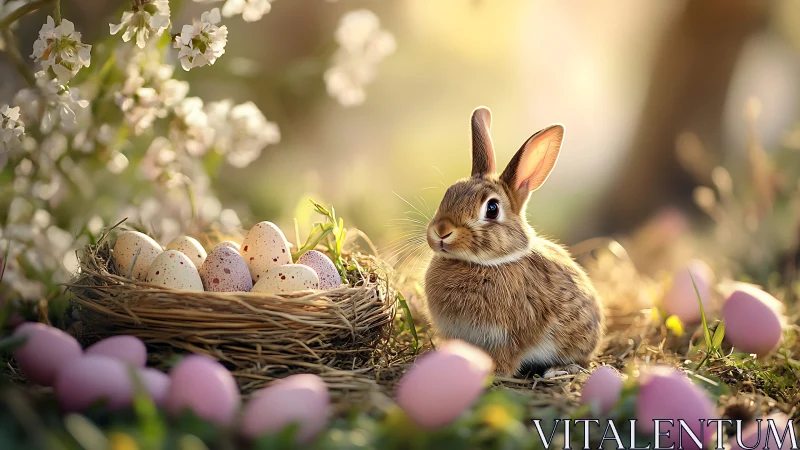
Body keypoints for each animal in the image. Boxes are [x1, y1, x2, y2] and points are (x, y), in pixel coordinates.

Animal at [423, 106, 604, 377]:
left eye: (492, 208)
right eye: (449, 193)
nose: (442, 231)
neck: (486, 264)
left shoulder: (508, 338)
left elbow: (506, 360)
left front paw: (493, 372)